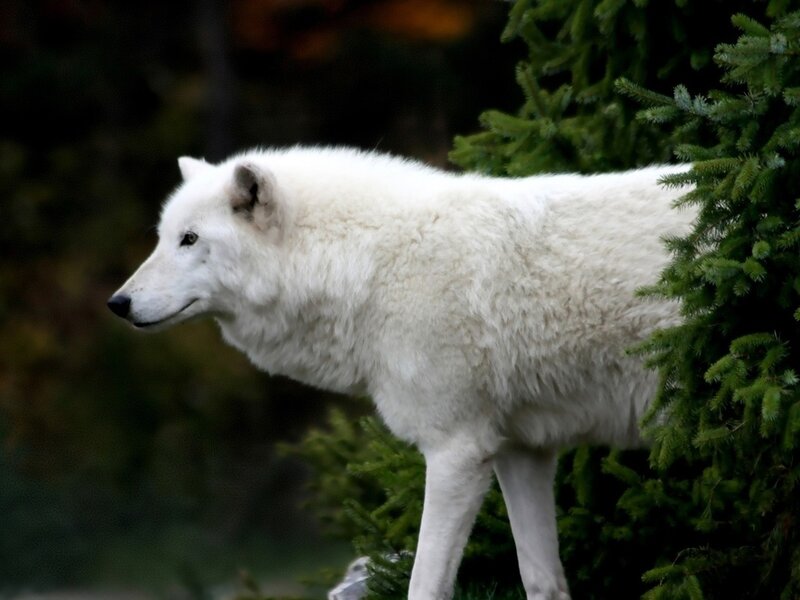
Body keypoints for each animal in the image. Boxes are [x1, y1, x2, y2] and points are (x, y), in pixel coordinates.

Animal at [108, 147, 693, 600]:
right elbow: (540, 579)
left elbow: (424, 585)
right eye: (162, 237)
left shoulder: (456, 452)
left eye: (189, 239)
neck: (370, 265)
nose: (117, 303)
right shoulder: (520, 451)